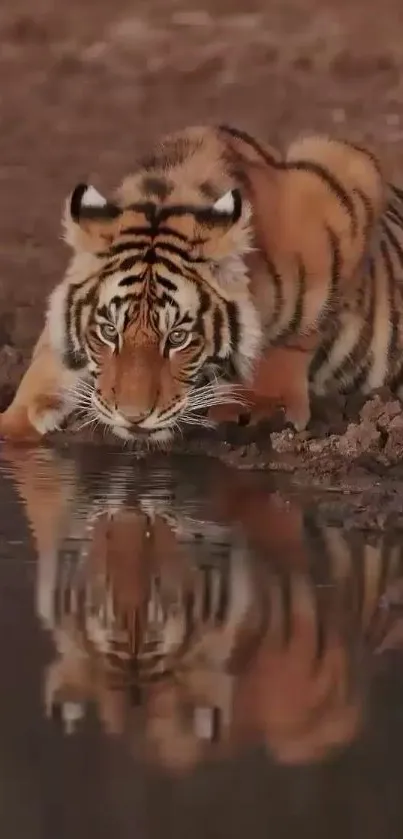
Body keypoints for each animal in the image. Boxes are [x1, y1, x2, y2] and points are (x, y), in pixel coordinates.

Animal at [2, 122, 400, 446]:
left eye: (178, 337)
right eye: (108, 331)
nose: (132, 417)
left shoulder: (345, 176)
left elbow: (296, 331)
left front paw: (262, 403)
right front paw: (20, 418)